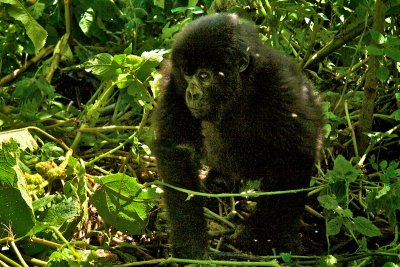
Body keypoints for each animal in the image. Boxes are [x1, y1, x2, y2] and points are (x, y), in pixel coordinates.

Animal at [152, 13, 324, 260]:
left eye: (204, 76)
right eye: (187, 73)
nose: (191, 94)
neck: (240, 86)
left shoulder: (282, 87)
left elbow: (294, 156)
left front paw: (265, 238)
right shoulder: (173, 81)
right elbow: (177, 150)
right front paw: (190, 244)